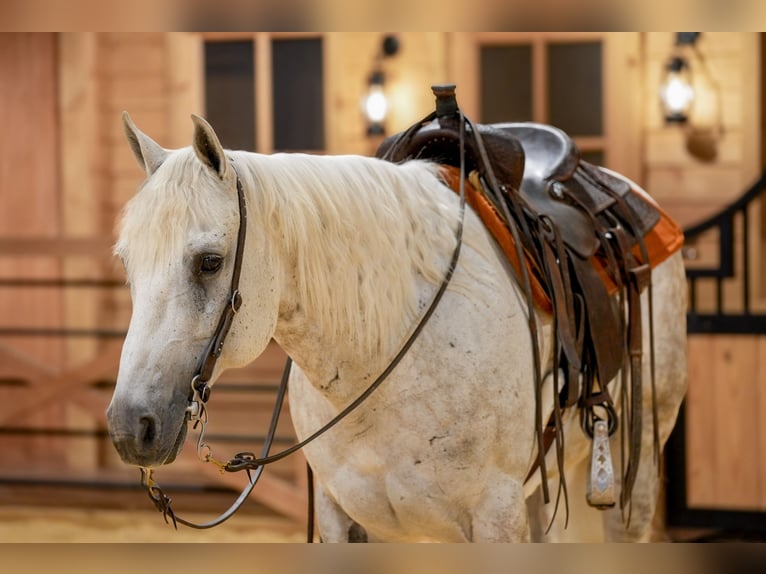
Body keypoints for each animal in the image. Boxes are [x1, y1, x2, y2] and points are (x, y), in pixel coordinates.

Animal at [106, 111, 687, 542]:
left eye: (209, 262)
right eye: (127, 263)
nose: (131, 426)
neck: (381, 358)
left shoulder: (496, 515)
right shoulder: (342, 517)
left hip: (634, 474)